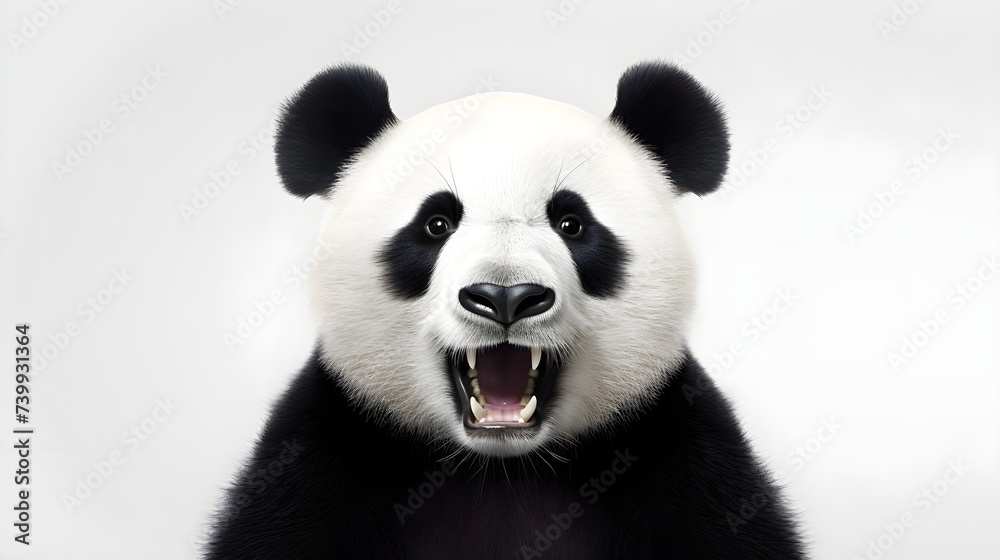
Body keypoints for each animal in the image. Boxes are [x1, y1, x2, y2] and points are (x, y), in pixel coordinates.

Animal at [205, 61, 806, 559]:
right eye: (436, 223)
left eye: (572, 223)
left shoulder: (684, 464)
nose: (505, 297)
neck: (501, 470)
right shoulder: (321, 464)